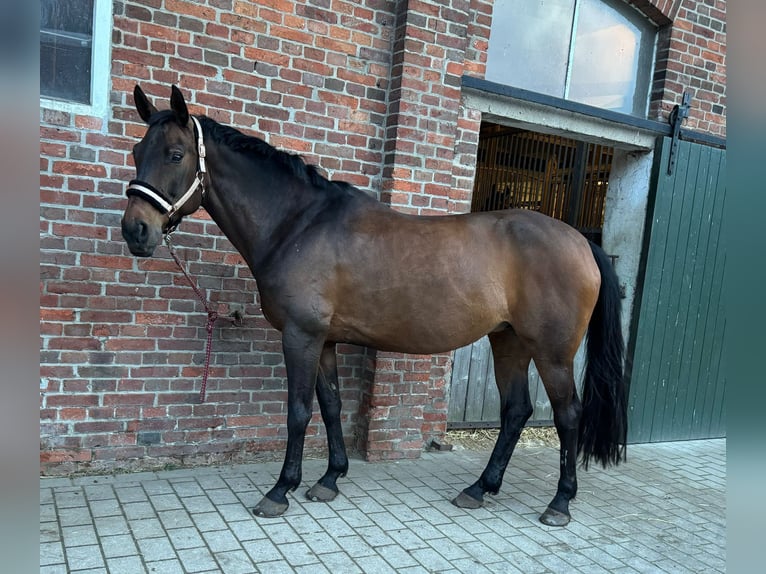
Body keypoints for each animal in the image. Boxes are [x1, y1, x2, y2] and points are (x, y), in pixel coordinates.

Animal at [118, 83, 624, 528]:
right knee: (516, 411)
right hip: (509, 341)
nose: (135, 231)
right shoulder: (323, 340)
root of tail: (581, 241)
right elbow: (331, 406)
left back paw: (559, 503)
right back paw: (480, 488)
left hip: (551, 352)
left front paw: (280, 490)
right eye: (137, 152)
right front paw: (329, 479)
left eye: (176, 154)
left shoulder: (300, 336)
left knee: (567, 415)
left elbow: (298, 412)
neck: (298, 224)